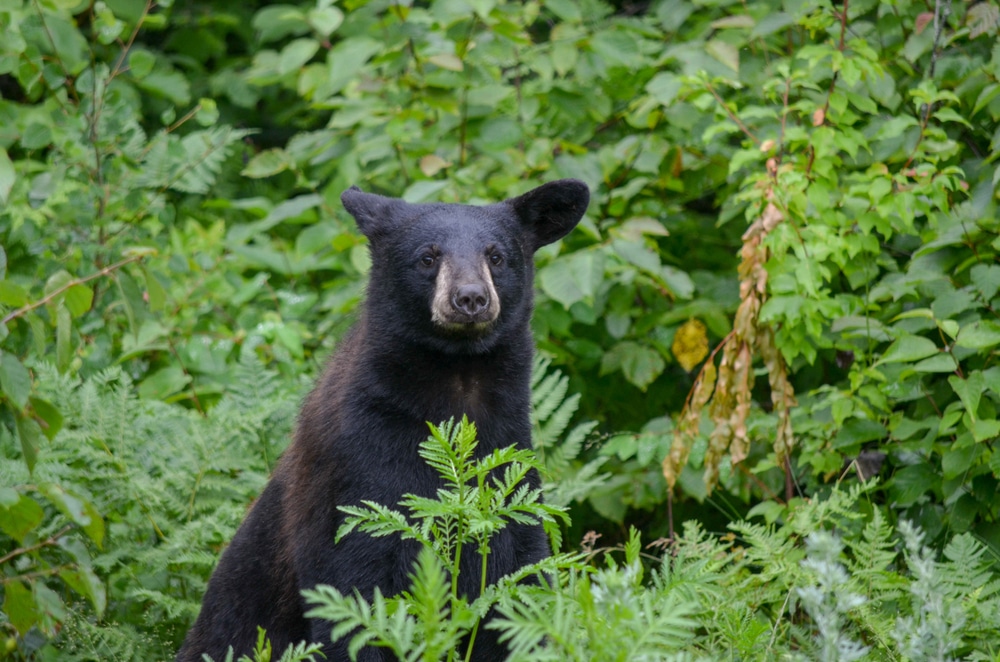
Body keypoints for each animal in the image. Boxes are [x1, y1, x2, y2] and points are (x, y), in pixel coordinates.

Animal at [177, 179, 588, 660]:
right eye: (428, 257)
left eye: (497, 256)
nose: (470, 298)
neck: (455, 387)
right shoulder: (356, 472)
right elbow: (351, 595)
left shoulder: (509, 459)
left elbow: (521, 585)